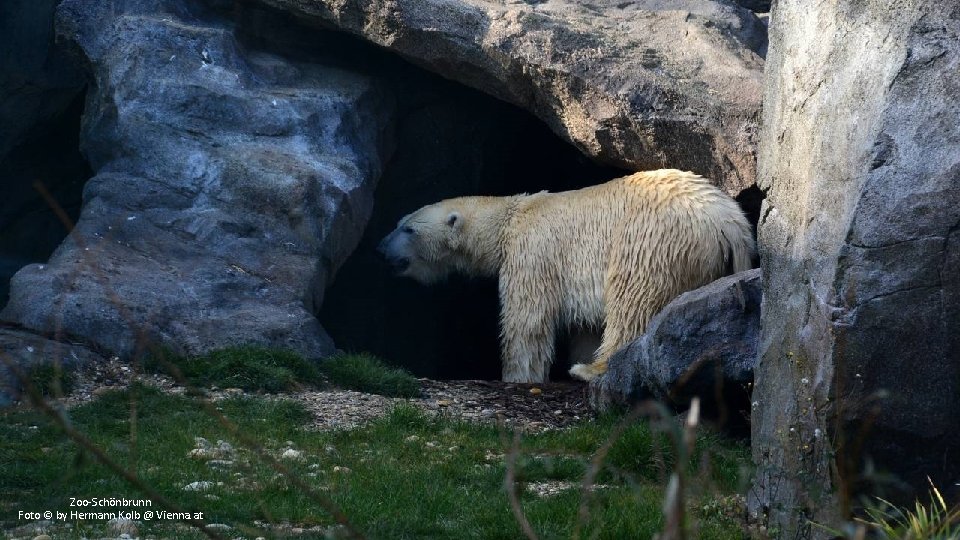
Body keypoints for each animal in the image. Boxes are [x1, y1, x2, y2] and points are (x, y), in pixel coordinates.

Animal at [378, 169, 752, 384]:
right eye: (399, 222)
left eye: (408, 229)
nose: (381, 248)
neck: (509, 217)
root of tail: (728, 222)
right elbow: (585, 325)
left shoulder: (532, 252)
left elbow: (527, 320)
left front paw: (517, 377)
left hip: (653, 238)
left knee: (633, 300)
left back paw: (591, 370)